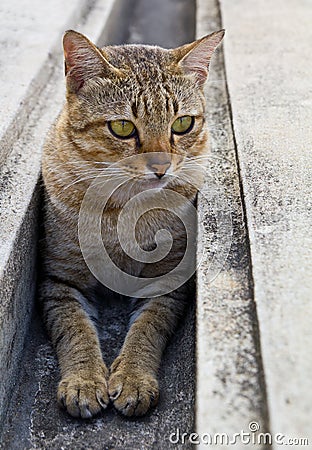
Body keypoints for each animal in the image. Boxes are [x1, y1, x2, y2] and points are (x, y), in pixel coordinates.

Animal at [39, 29, 224, 418]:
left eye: (183, 123)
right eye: (122, 127)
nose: (161, 167)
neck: (122, 208)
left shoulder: (167, 282)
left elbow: (146, 330)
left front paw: (134, 378)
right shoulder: (59, 281)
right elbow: (75, 330)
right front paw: (84, 380)